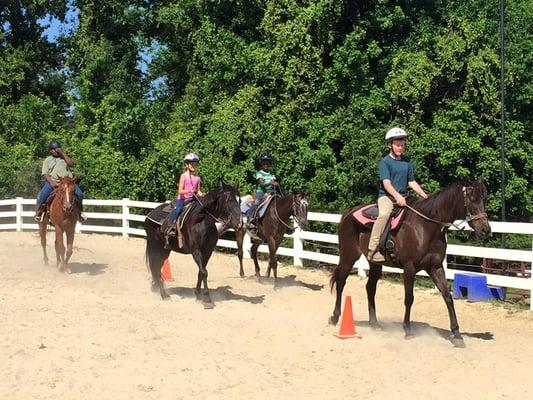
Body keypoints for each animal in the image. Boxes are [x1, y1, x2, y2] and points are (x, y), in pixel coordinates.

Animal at [328, 179, 490, 346]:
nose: (485, 230)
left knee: (370, 288)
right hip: (349, 256)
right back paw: (335, 317)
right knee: (341, 283)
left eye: (483, 198)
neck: (426, 227)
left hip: (375, 263)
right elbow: (409, 298)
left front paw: (457, 334)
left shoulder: (436, 267)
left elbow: (447, 297)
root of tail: (348, 213)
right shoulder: (409, 268)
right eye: (471, 198)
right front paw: (407, 329)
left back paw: (374, 323)